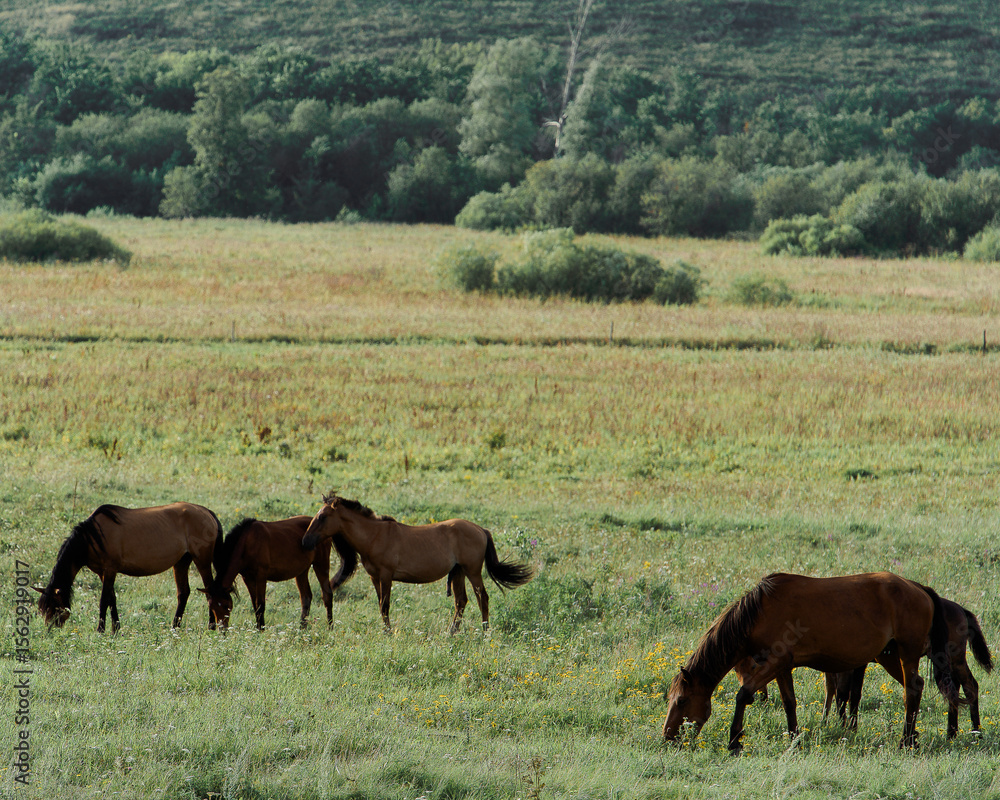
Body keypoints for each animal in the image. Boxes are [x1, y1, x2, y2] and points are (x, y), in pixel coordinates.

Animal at [35, 502, 222, 633]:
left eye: (54, 608)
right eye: (43, 609)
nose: (50, 631)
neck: (91, 538)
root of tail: (207, 512)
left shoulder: (110, 570)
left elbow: (103, 600)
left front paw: (100, 630)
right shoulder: (103, 573)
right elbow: (112, 599)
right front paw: (116, 629)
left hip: (202, 560)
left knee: (209, 591)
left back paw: (211, 626)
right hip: (182, 562)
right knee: (183, 593)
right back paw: (175, 627)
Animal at [202, 516, 334, 630]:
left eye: (226, 605)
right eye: (211, 607)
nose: (222, 629)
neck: (247, 543)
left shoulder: (261, 576)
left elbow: (260, 604)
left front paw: (261, 629)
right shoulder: (248, 578)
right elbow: (255, 605)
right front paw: (258, 627)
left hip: (321, 564)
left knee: (327, 594)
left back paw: (330, 627)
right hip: (302, 571)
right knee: (306, 597)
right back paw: (302, 628)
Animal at [301, 492, 533, 633]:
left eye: (322, 517)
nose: (305, 542)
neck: (374, 536)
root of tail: (481, 530)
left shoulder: (386, 575)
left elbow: (385, 606)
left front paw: (388, 633)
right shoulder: (374, 577)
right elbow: (380, 605)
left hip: (473, 571)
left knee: (482, 598)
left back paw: (484, 632)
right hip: (458, 572)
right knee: (461, 601)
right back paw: (451, 633)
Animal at [662, 572, 959, 752]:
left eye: (681, 701)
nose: (667, 736)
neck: (759, 612)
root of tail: (918, 588)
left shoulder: (774, 662)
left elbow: (743, 694)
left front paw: (735, 741)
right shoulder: (782, 667)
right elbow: (789, 702)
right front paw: (794, 738)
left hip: (907, 653)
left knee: (913, 690)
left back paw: (906, 740)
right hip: (890, 656)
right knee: (917, 687)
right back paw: (925, 736)